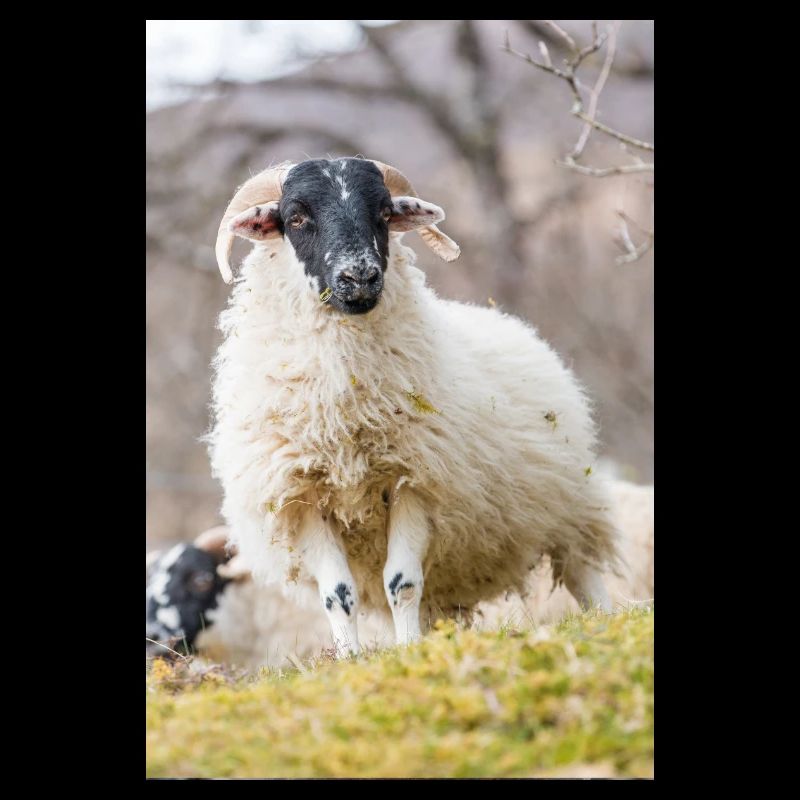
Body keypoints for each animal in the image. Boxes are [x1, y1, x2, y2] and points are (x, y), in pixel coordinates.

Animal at [206, 157, 624, 657]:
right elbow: (336, 594)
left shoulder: (416, 481)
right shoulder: (301, 495)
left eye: (385, 213)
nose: (360, 277)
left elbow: (402, 582)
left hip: (570, 505)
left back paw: (605, 620)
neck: (344, 415)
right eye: (296, 218)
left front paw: (408, 652)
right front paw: (351, 658)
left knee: (582, 569)